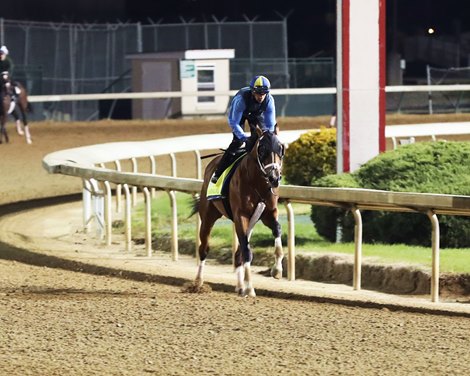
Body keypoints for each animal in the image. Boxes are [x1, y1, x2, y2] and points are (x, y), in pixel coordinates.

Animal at [196, 126, 286, 296]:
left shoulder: (269, 213)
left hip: (250, 223)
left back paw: (239, 286)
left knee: (238, 253)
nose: (274, 178)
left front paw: (277, 270)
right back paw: (198, 282)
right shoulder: (241, 216)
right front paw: (250, 287)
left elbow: (277, 229)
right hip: (208, 215)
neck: (257, 183)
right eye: (262, 149)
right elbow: (247, 251)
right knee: (204, 248)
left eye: (281, 148)